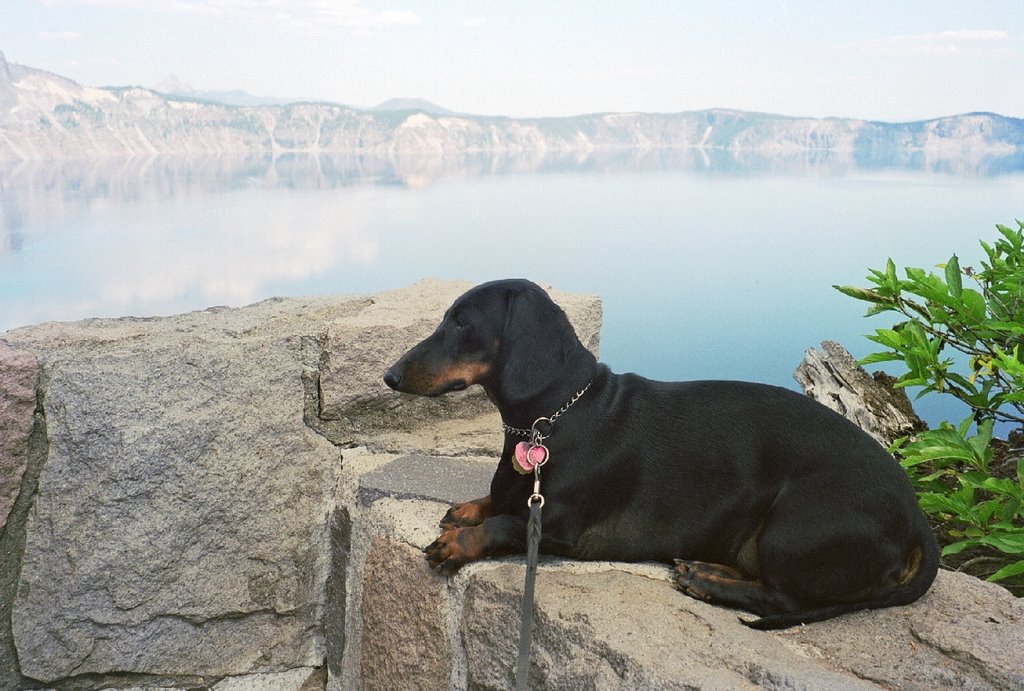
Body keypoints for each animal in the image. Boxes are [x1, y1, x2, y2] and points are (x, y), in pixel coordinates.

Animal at [382, 278, 937, 630]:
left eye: (462, 323)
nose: (388, 375)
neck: (552, 420)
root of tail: (918, 520)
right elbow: (496, 502)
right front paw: (468, 509)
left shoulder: (563, 530)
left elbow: (504, 523)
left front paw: (460, 541)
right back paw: (708, 571)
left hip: (794, 525)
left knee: (784, 596)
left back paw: (708, 582)